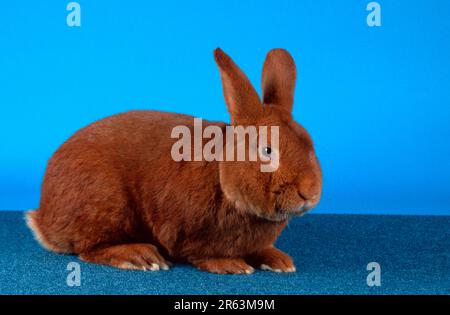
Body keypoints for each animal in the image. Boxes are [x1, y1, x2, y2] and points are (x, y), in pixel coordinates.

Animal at [26, 48, 322, 274]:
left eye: (309, 143)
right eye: (268, 150)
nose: (309, 192)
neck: (221, 176)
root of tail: (43, 218)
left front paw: (280, 261)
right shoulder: (185, 232)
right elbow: (201, 254)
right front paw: (232, 266)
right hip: (104, 203)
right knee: (89, 249)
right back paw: (139, 256)